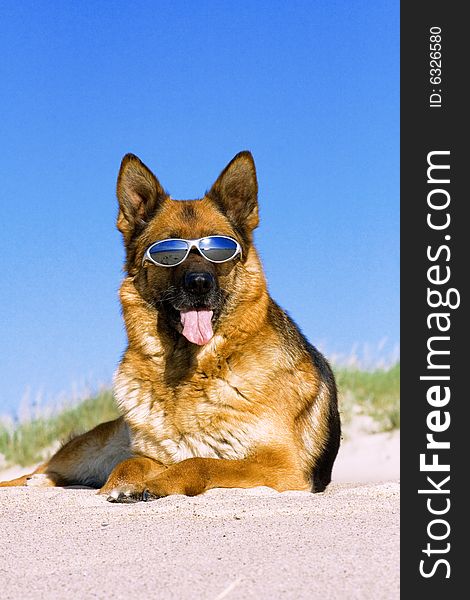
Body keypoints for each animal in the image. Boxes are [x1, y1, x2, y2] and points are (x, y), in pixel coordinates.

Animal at [0, 151, 340, 502]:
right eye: (168, 253)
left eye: (219, 250)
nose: (199, 284)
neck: (191, 369)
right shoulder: (149, 454)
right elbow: (132, 462)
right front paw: (124, 484)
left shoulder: (281, 466)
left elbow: (200, 462)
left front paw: (155, 484)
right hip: (88, 450)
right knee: (42, 471)